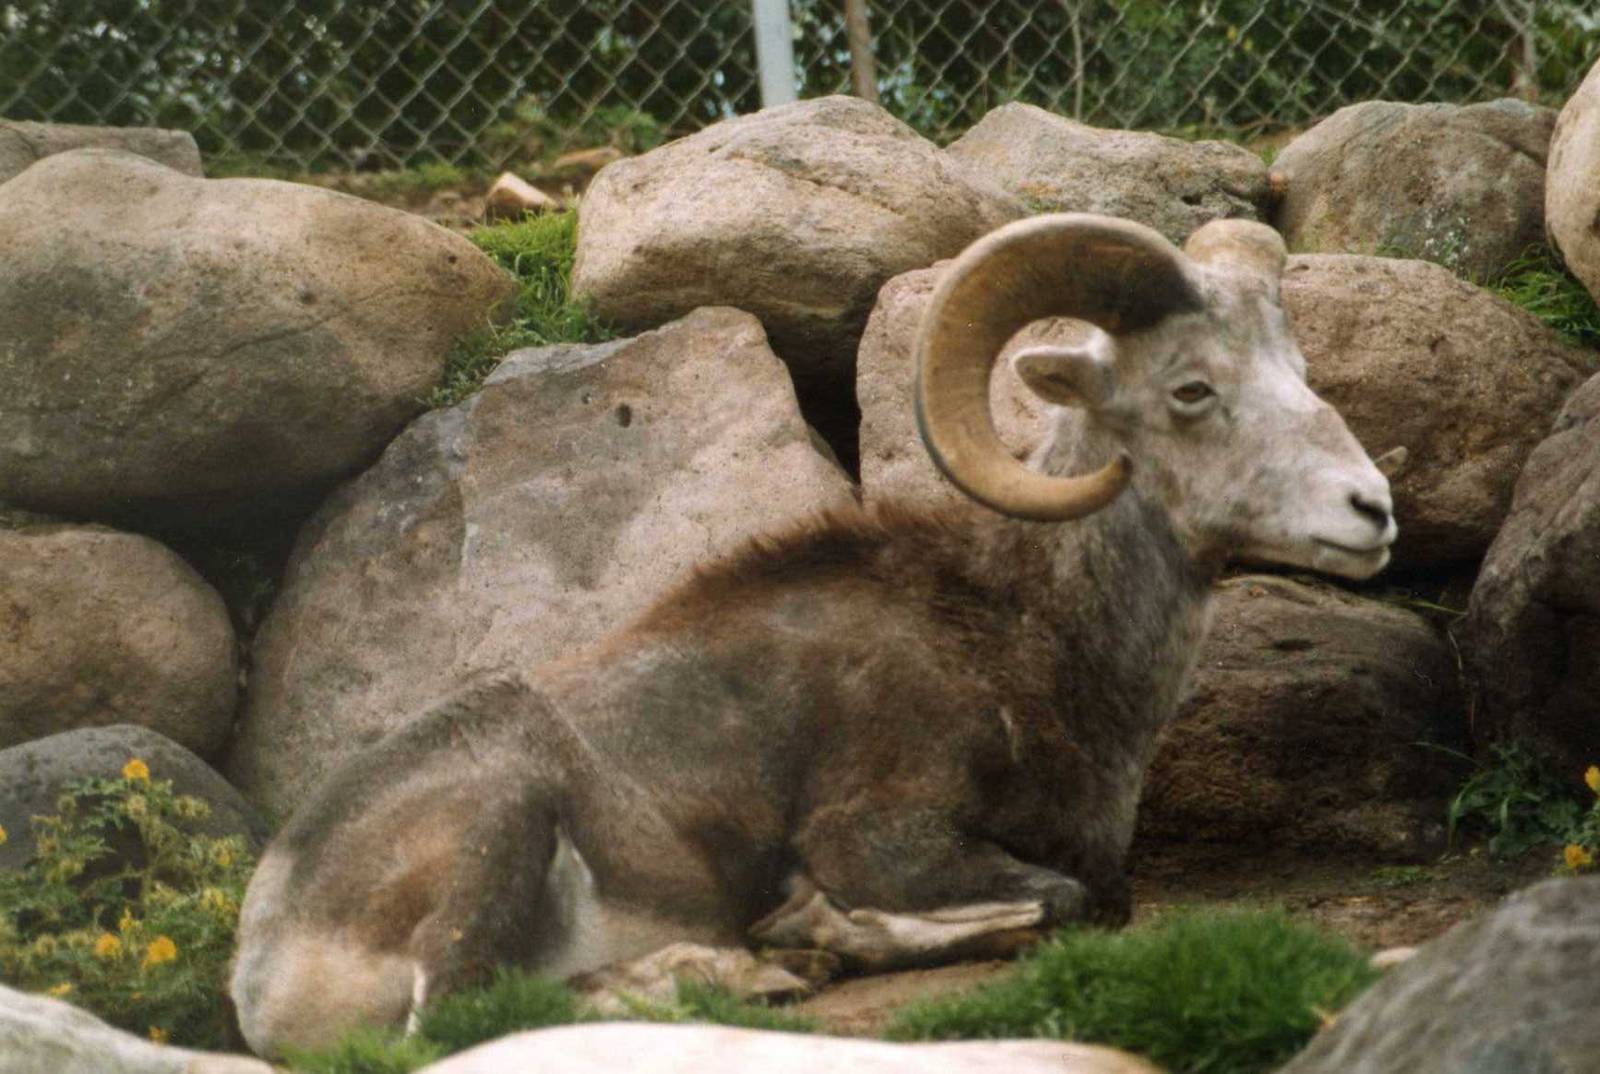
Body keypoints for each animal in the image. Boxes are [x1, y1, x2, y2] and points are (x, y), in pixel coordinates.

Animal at [229, 213, 1396, 1057]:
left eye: (1298, 371)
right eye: (1191, 389)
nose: (1371, 510)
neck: (1028, 639)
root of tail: (264, 965)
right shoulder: (885, 835)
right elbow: (1071, 899)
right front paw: (813, 919)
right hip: (500, 824)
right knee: (464, 1021)